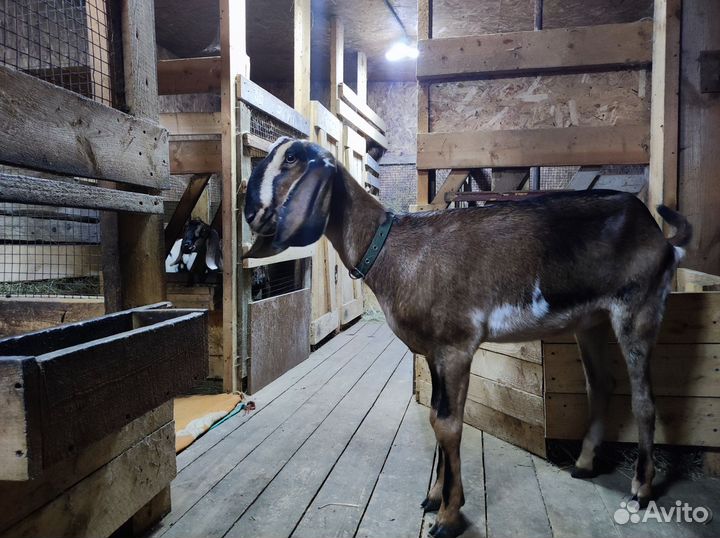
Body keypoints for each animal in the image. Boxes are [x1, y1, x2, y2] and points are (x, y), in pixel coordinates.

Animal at [242, 137, 692, 538]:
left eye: (292, 159)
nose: (251, 214)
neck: (395, 250)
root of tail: (661, 238)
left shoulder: (456, 346)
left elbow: (448, 425)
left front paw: (448, 516)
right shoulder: (433, 352)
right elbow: (434, 416)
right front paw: (434, 496)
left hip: (638, 309)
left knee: (644, 400)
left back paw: (641, 488)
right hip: (592, 321)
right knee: (601, 384)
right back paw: (583, 464)